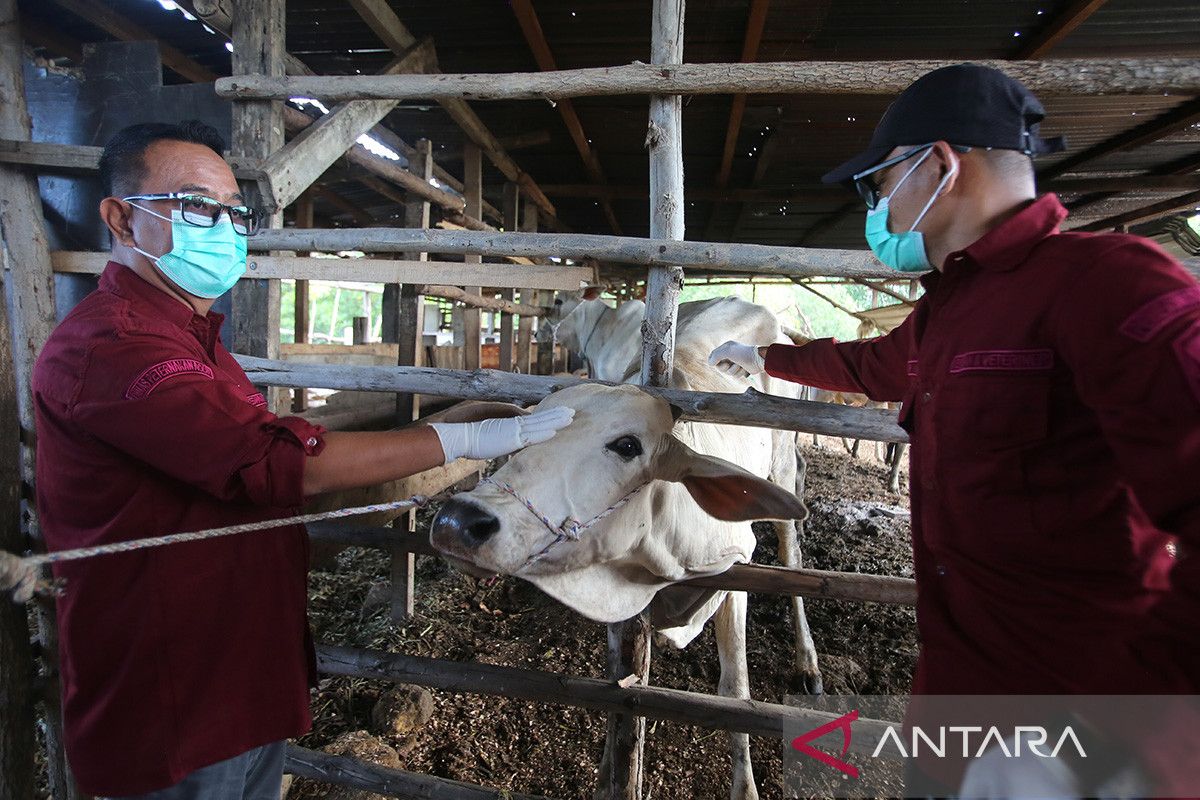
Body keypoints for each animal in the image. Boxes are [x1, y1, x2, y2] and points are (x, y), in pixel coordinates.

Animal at [436, 298, 820, 800]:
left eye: (626, 445)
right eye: (525, 431)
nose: (458, 521)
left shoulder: (736, 568)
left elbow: (735, 688)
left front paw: (745, 787)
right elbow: (620, 682)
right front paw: (609, 774)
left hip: (782, 462)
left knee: (792, 554)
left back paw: (808, 662)